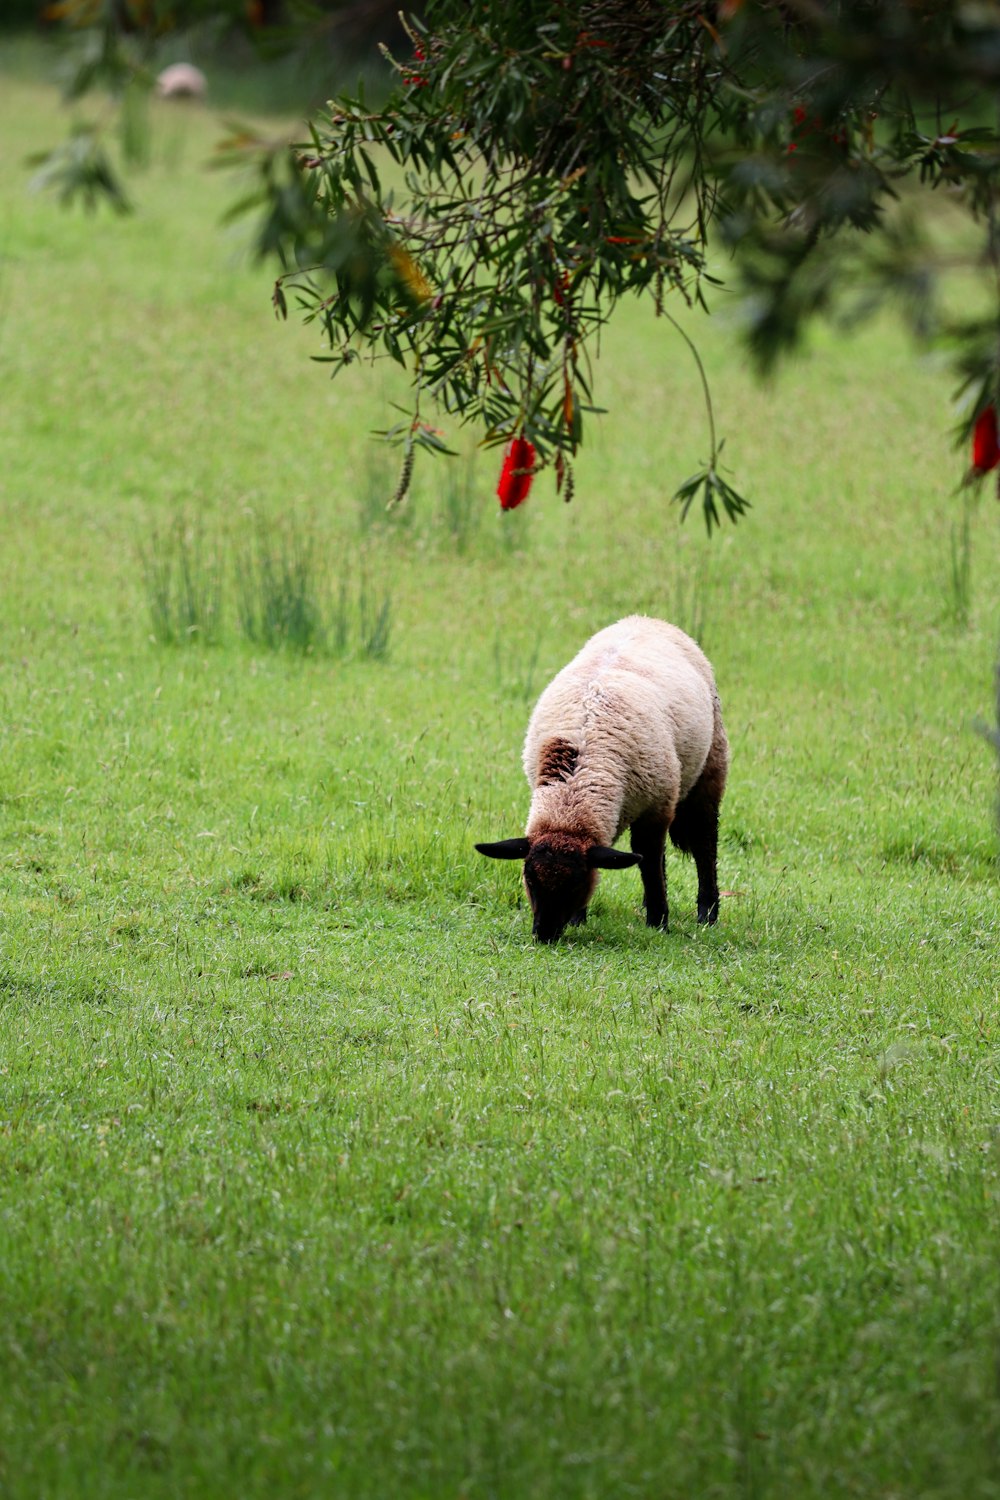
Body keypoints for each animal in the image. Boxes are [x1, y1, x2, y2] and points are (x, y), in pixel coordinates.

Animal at [476, 615, 728, 942]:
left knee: (704, 843)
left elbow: (650, 863)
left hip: (710, 768)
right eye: (529, 879)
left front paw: (659, 922)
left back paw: (707, 914)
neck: (572, 794)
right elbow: (647, 860)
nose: (544, 935)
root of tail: (646, 619)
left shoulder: (657, 806)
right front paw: (578, 920)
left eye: (575, 881)